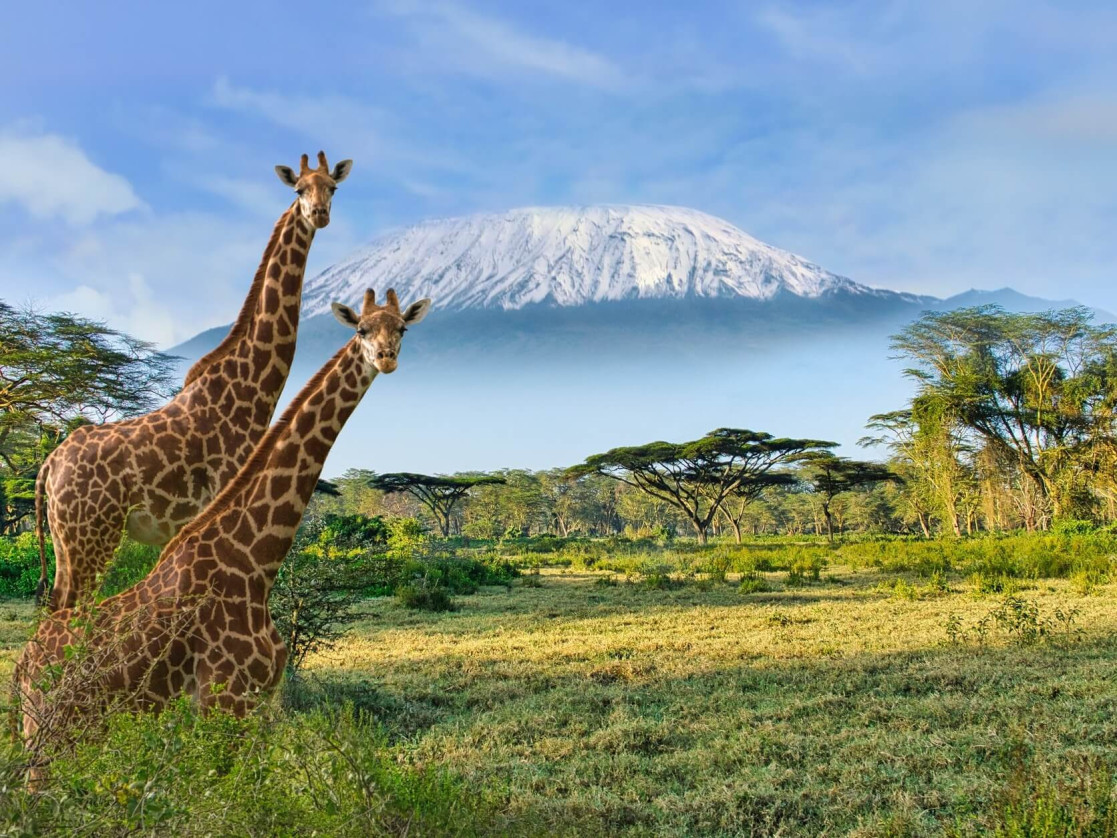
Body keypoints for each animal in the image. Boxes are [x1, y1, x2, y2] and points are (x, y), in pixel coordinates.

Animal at [15, 288, 431, 771]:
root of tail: (23, 667)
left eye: (402, 328)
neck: (254, 557)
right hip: (49, 734)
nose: (386, 358)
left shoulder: (262, 704)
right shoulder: (226, 702)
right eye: (362, 330)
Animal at [34, 151, 352, 611]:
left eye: (333, 187)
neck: (251, 390)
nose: (319, 214)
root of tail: (50, 464)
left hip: (67, 540)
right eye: (298, 190)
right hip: (89, 536)